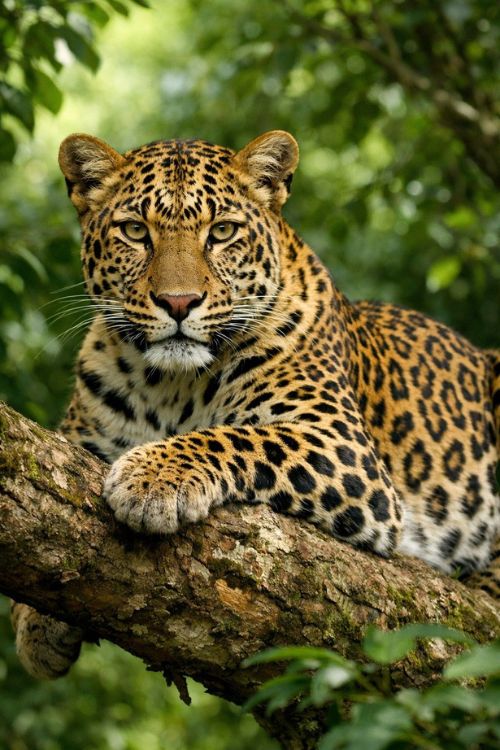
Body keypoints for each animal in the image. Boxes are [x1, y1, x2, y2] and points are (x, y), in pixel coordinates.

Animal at [12, 130, 500, 680]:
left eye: (222, 231)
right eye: (135, 231)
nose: (178, 303)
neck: (170, 384)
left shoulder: (342, 445)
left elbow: (237, 436)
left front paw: (152, 479)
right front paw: (36, 627)